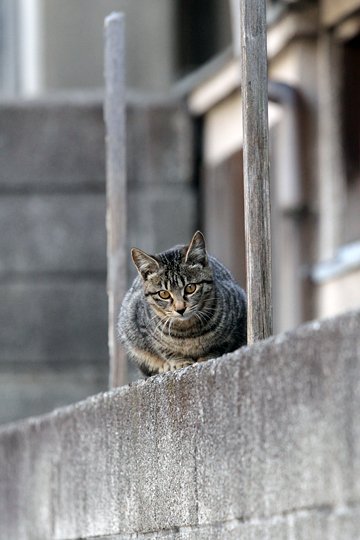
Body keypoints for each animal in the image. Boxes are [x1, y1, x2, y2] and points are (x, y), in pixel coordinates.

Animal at [118, 231, 248, 376]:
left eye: (190, 288)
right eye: (164, 294)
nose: (180, 309)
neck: (188, 332)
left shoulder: (238, 319)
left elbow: (220, 345)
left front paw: (207, 357)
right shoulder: (140, 325)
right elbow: (163, 349)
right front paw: (179, 361)